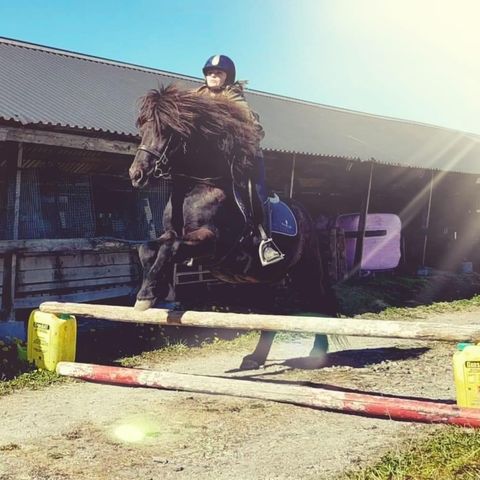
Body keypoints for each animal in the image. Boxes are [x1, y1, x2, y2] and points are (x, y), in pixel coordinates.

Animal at [127, 84, 338, 370]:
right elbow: (149, 247)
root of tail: (306, 214)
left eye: (166, 130)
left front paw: (148, 295)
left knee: (318, 304)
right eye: (142, 126)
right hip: (264, 280)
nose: (136, 175)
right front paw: (149, 290)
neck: (196, 187)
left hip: (306, 270)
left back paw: (317, 354)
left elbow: (171, 247)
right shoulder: (173, 234)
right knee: (271, 315)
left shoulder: (213, 242)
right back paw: (255, 358)